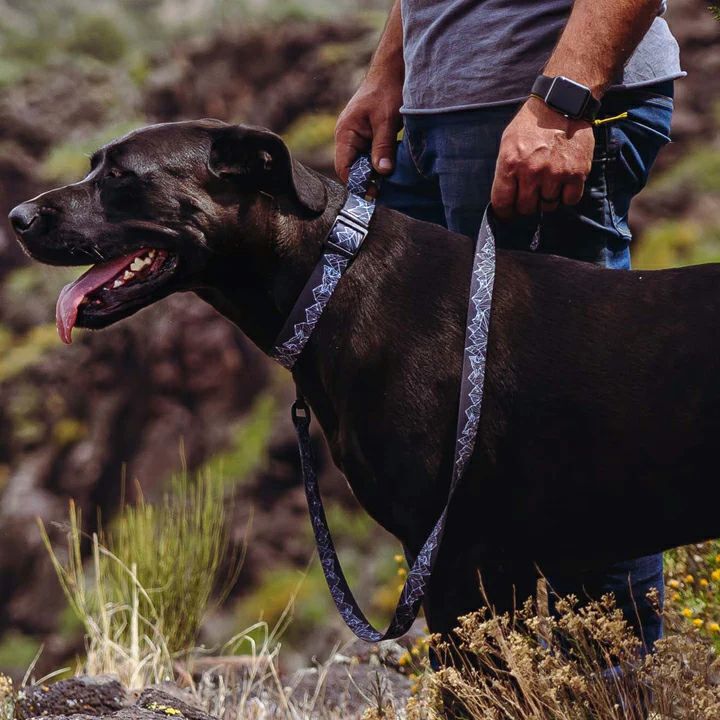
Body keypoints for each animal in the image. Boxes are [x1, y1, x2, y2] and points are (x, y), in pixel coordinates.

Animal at [9, 121, 720, 640]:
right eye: (96, 165)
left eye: (121, 176)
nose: (16, 217)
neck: (330, 280)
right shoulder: (498, 564)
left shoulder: (458, 557)